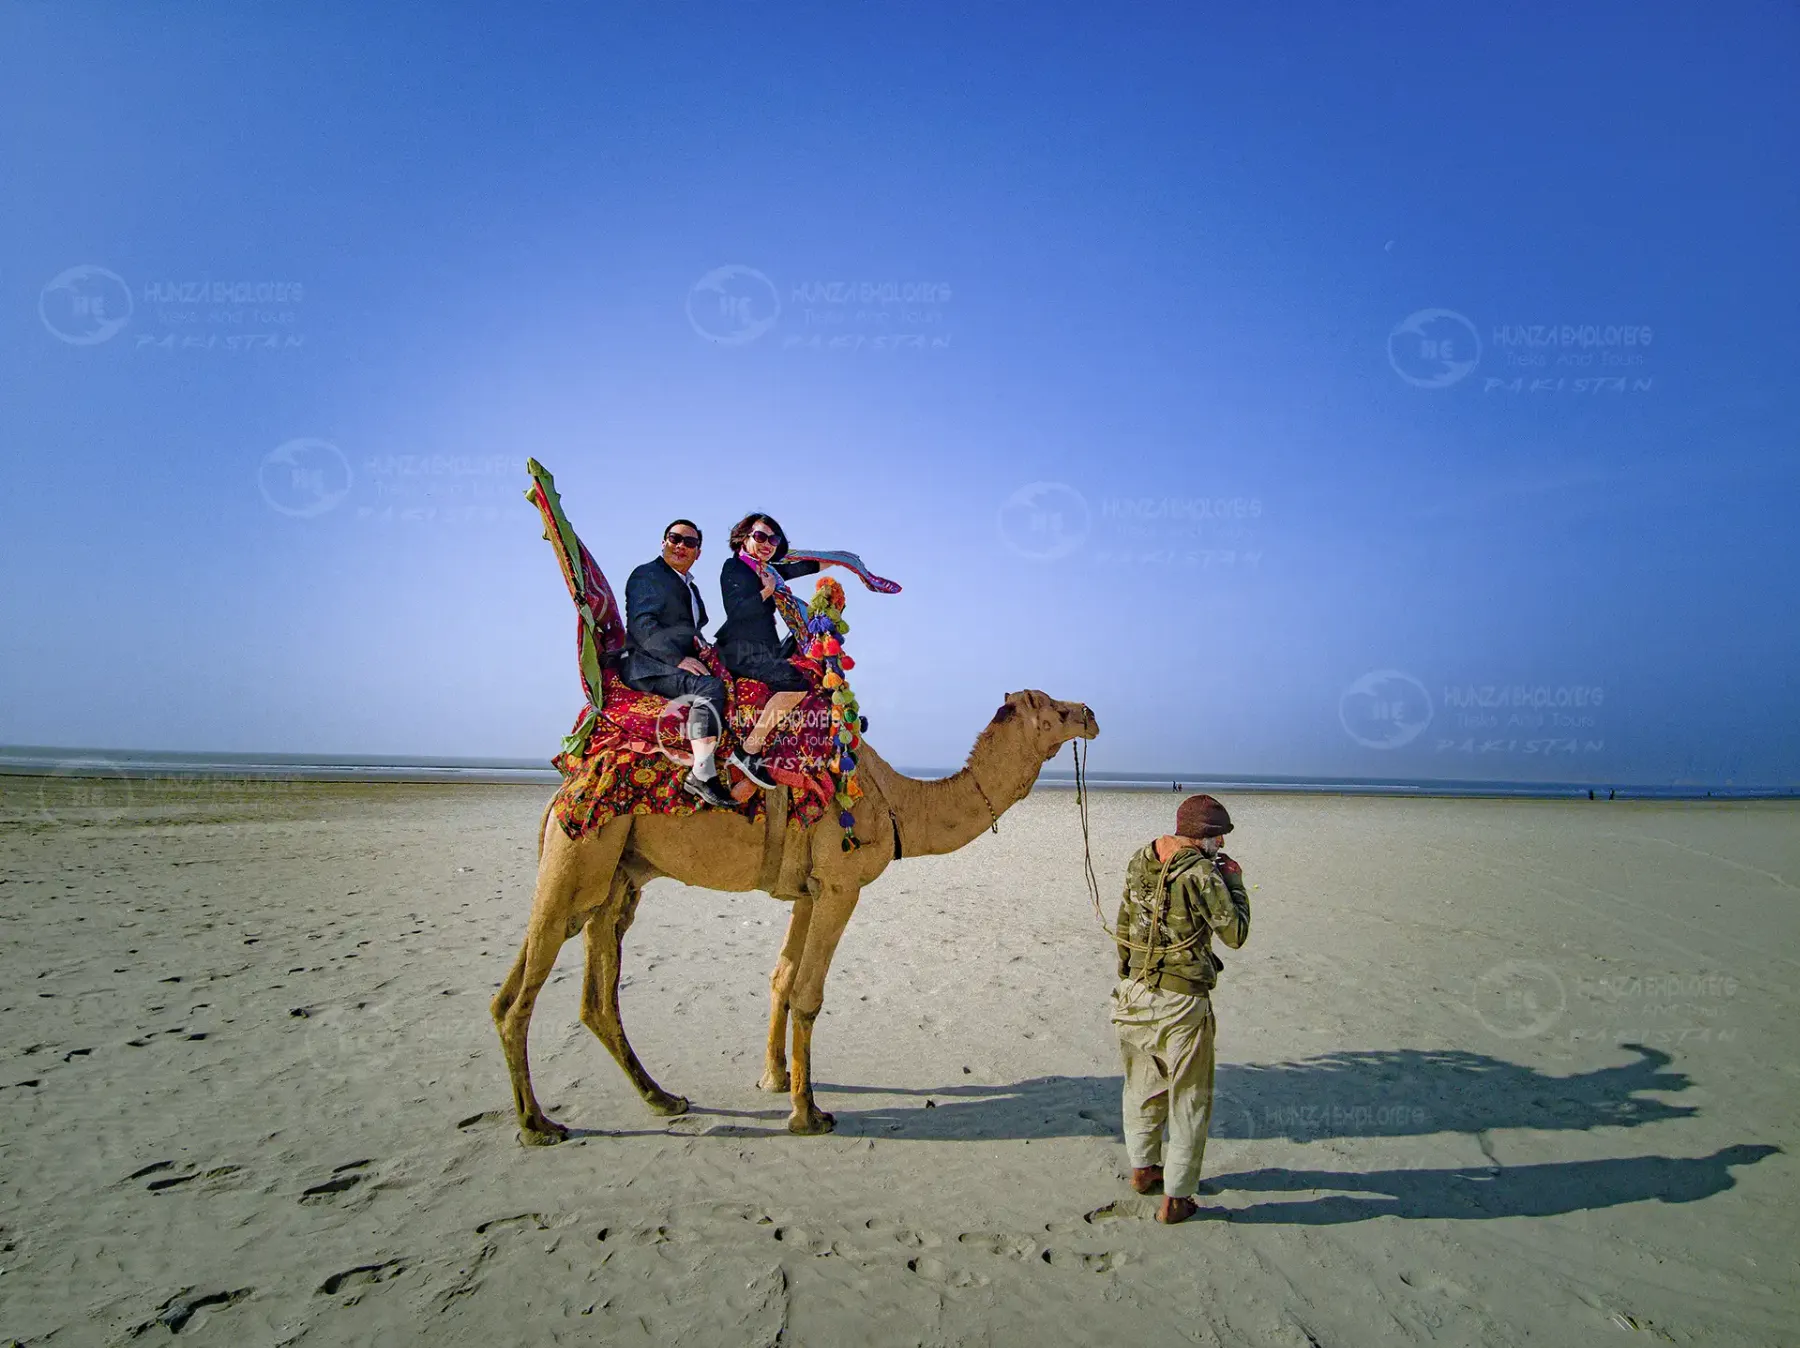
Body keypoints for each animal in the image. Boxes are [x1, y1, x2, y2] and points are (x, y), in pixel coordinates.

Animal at [491, 689, 1099, 1143]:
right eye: (1052, 706)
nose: (1091, 714)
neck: (898, 803)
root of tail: (562, 791)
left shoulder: (808, 892)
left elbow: (782, 978)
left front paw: (775, 1079)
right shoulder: (840, 887)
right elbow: (808, 994)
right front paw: (809, 1113)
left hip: (614, 877)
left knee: (587, 996)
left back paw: (662, 1098)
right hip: (578, 856)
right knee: (522, 996)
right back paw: (538, 1125)